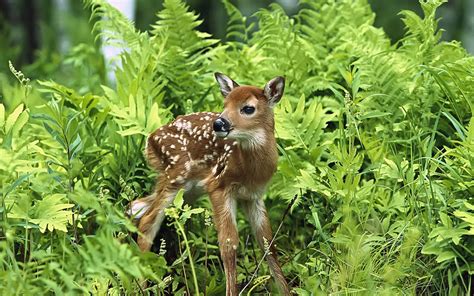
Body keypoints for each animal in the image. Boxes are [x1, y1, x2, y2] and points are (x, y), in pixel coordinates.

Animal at [131, 73, 292, 294]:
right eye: (225, 104)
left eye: (248, 108)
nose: (219, 124)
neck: (249, 171)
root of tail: (150, 140)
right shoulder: (218, 186)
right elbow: (229, 244)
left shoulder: (254, 196)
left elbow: (268, 243)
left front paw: (286, 291)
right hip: (176, 175)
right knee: (147, 221)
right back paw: (142, 285)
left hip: (187, 188)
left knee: (136, 206)